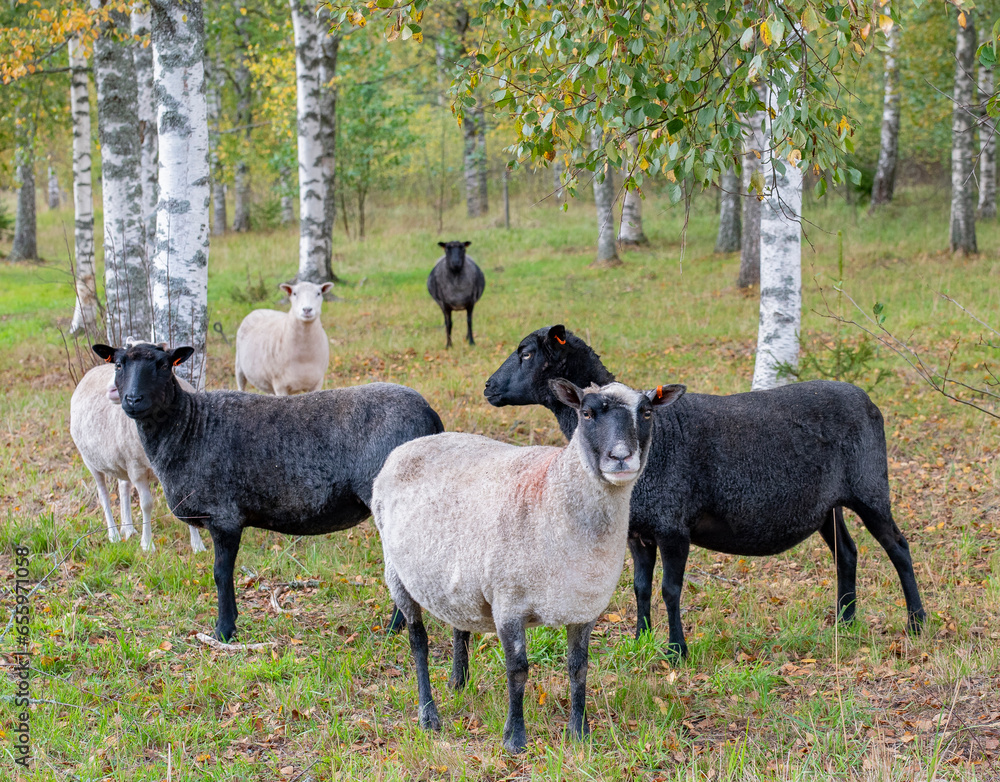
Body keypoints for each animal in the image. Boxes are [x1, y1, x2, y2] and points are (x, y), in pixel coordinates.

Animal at [70, 360, 207, 553]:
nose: (112, 390)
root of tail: (92, 371)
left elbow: (184, 504)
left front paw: (197, 545)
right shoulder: (137, 469)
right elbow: (146, 504)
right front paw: (147, 545)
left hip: (121, 460)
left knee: (123, 487)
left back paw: (128, 529)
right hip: (91, 460)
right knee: (103, 494)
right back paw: (114, 534)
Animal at [92, 340, 444, 641]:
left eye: (164, 365)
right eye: (119, 364)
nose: (133, 400)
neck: (190, 427)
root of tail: (430, 413)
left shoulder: (224, 516)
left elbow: (221, 573)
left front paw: (224, 631)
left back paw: (393, 628)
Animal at [372, 378, 684, 753]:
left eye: (647, 412)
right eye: (586, 413)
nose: (621, 457)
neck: (554, 492)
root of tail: (407, 447)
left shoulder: (584, 605)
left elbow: (579, 668)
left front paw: (578, 732)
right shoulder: (509, 603)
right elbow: (518, 670)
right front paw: (515, 738)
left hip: (458, 579)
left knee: (459, 625)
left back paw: (458, 683)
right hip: (396, 572)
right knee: (418, 640)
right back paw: (428, 714)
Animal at [484, 325, 926, 657]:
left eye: (526, 354)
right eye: (588, 412)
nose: (487, 387)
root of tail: (867, 399)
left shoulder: (673, 526)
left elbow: (670, 589)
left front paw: (676, 650)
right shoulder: (638, 532)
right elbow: (641, 587)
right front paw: (641, 639)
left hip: (870, 487)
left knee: (899, 547)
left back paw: (917, 622)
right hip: (828, 505)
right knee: (847, 553)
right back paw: (845, 622)